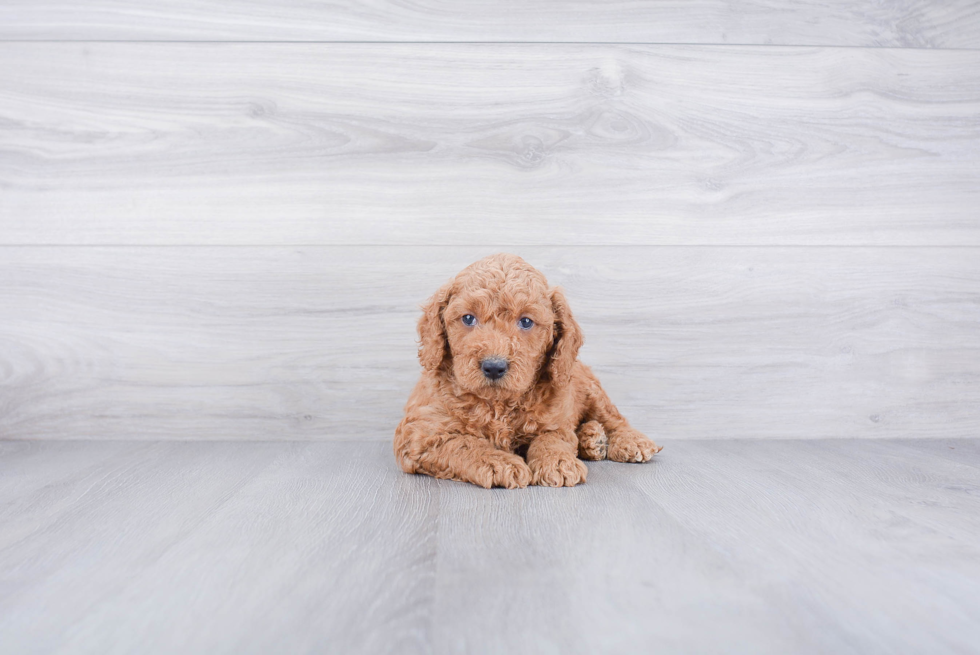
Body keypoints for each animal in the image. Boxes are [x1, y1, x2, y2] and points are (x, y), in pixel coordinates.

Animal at [394, 254, 664, 490]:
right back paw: (592, 439)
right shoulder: (419, 435)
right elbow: (463, 443)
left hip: (590, 387)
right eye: (468, 318)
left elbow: (551, 438)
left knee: (614, 419)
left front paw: (558, 462)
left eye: (525, 321)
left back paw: (627, 441)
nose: (494, 366)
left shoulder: (556, 421)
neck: (498, 404)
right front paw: (500, 462)